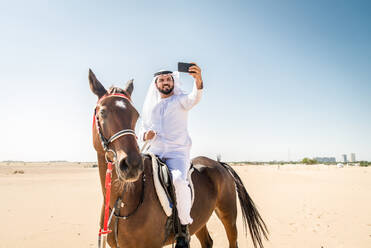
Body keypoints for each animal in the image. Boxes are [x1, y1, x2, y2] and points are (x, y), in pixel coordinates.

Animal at [90, 69, 270, 248]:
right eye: (102, 112)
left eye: (136, 115)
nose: (132, 164)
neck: (122, 201)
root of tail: (219, 164)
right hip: (199, 220)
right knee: (207, 241)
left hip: (228, 215)